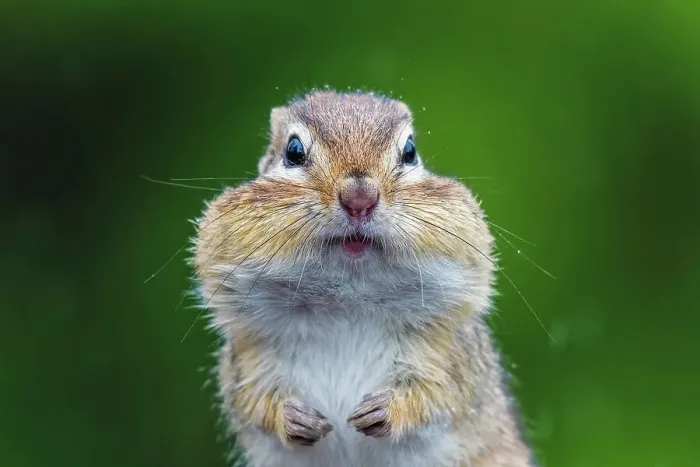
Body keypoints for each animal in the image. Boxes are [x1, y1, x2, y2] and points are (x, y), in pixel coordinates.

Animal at [192, 90, 536, 467]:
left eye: (410, 151)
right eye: (293, 151)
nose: (360, 198)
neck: (347, 301)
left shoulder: (447, 355)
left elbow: (438, 394)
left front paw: (387, 410)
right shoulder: (248, 360)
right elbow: (253, 402)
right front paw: (291, 418)